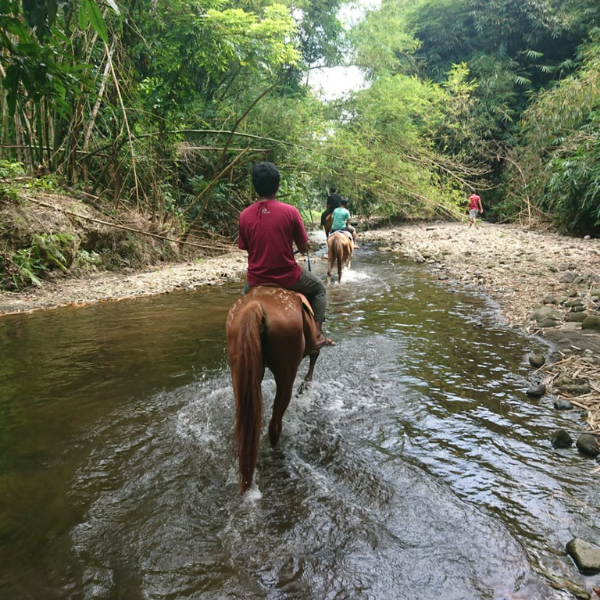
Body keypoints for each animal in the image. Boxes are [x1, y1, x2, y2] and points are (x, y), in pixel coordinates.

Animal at [225, 284, 322, 492]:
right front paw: (305, 386)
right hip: (286, 373)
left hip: (239, 372)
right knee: (275, 424)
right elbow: (314, 356)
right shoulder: (312, 346)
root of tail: (256, 305)